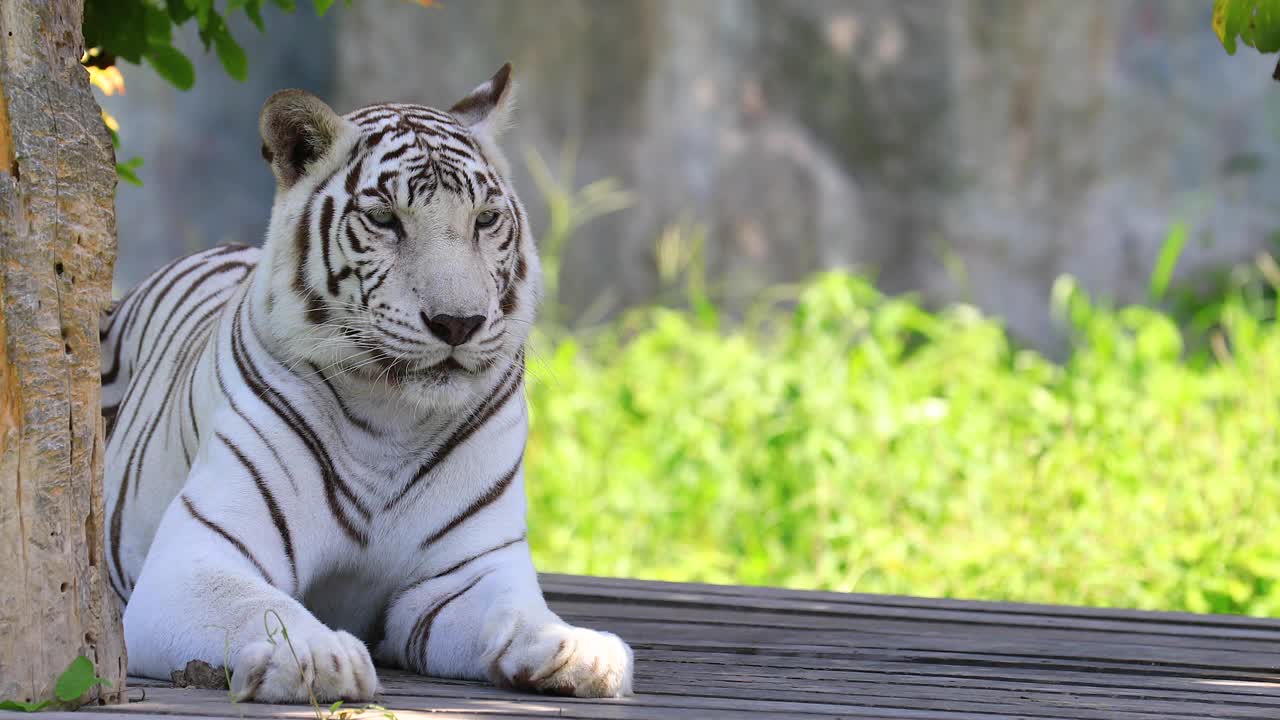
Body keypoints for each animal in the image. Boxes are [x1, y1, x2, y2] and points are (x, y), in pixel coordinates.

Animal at [101, 64, 634, 696]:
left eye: (484, 220)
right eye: (384, 220)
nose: (458, 322)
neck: (390, 418)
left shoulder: (465, 574)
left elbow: (520, 614)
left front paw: (580, 651)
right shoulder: (199, 555)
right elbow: (262, 606)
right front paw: (319, 656)